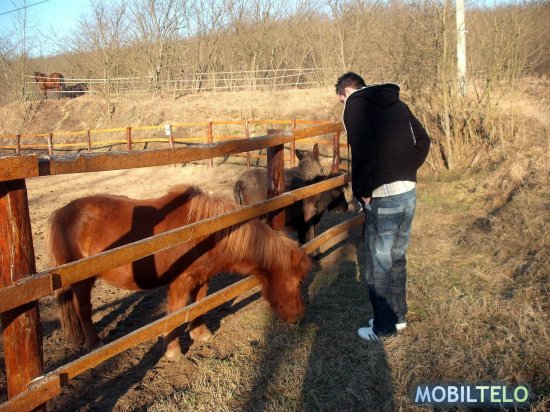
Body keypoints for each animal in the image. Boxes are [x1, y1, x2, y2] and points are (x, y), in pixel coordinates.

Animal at [47, 185, 312, 360]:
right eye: (299, 282)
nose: (300, 318)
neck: (204, 233)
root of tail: (59, 214)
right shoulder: (180, 283)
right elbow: (175, 314)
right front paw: (173, 351)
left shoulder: (202, 278)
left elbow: (199, 306)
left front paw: (201, 334)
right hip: (83, 281)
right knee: (83, 309)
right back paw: (93, 344)